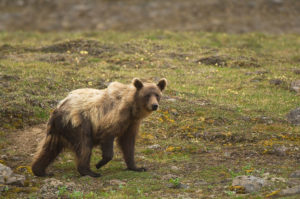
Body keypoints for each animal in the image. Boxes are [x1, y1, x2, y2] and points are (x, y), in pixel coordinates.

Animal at [31, 77, 168, 177]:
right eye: (147, 95)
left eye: (157, 95)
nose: (154, 105)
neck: (132, 108)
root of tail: (58, 108)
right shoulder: (114, 116)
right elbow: (108, 135)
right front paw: (100, 163)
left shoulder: (131, 123)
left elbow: (128, 143)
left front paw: (137, 167)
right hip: (78, 124)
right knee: (84, 145)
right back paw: (89, 172)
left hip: (57, 131)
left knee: (49, 148)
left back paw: (40, 171)